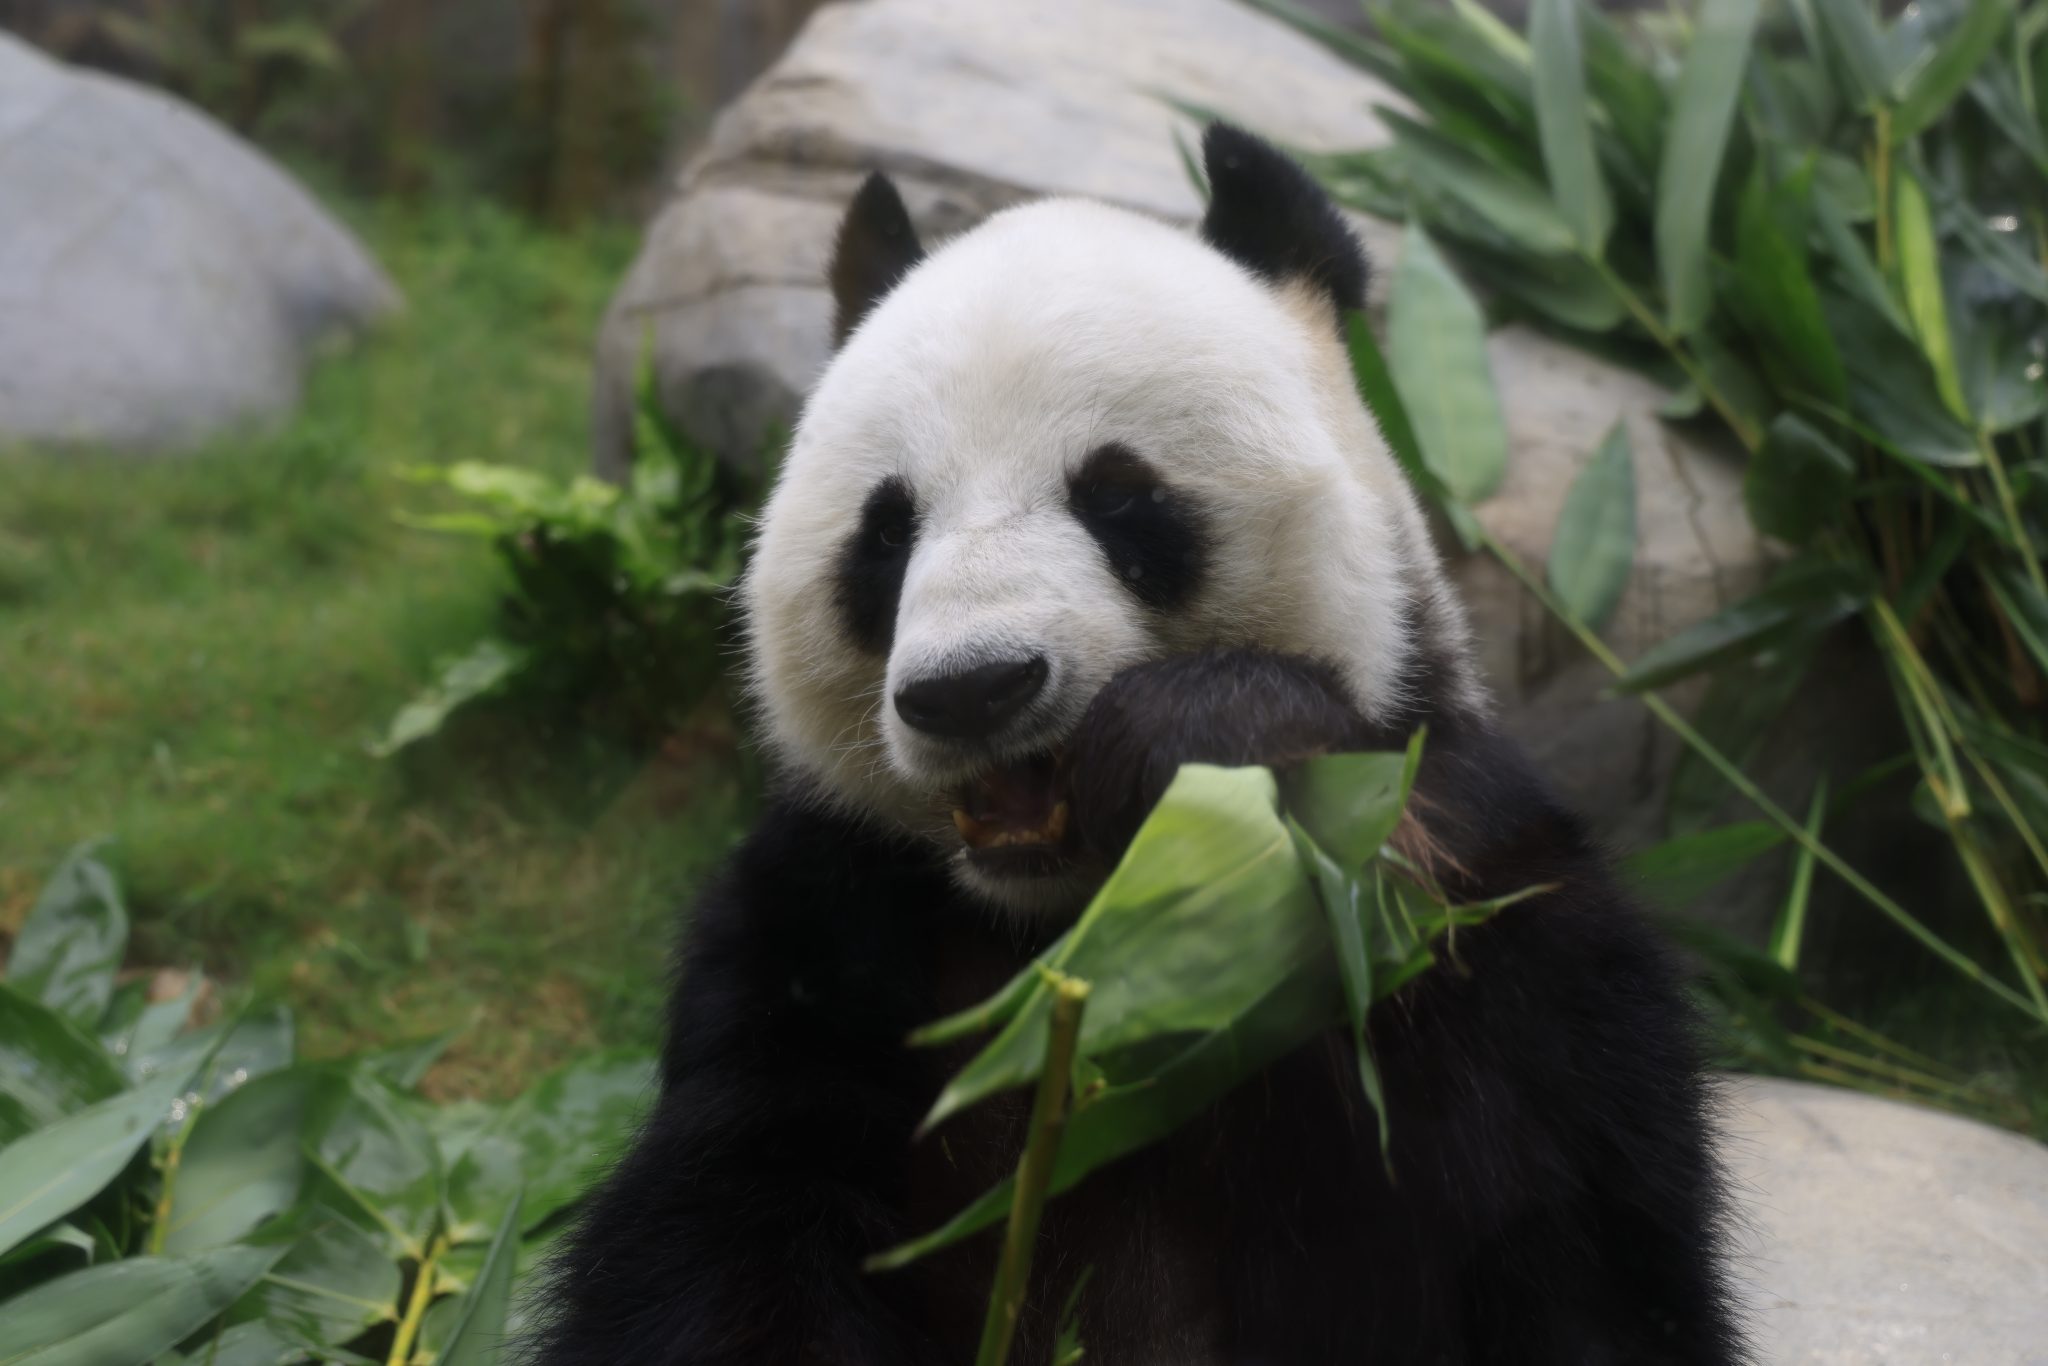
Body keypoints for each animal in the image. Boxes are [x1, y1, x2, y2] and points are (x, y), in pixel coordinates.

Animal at [535, 125, 1742, 1366]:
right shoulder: (822, 923)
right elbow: (723, 1228)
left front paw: (1212, 747)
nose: (971, 688)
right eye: (885, 530)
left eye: (1116, 496)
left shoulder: (1479, 852)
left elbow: (1556, 1219)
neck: (1067, 917)